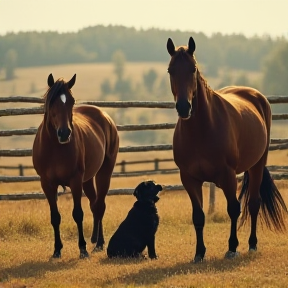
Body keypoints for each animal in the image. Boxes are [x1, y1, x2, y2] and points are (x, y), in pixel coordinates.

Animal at [32, 74, 119, 258]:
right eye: (52, 102)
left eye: (71, 101)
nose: (65, 133)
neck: (55, 147)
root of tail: (104, 116)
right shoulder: (47, 184)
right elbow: (55, 216)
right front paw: (57, 249)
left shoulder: (75, 181)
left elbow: (78, 214)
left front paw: (83, 249)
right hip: (88, 179)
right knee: (94, 204)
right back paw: (95, 239)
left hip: (104, 172)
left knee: (99, 205)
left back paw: (99, 243)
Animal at [165, 36, 286, 264]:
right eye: (170, 70)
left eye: (193, 69)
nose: (184, 107)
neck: (202, 130)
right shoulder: (189, 178)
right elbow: (198, 216)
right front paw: (199, 253)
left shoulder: (228, 175)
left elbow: (233, 209)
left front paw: (232, 248)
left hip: (257, 165)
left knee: (253, 204)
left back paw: (252, 244)